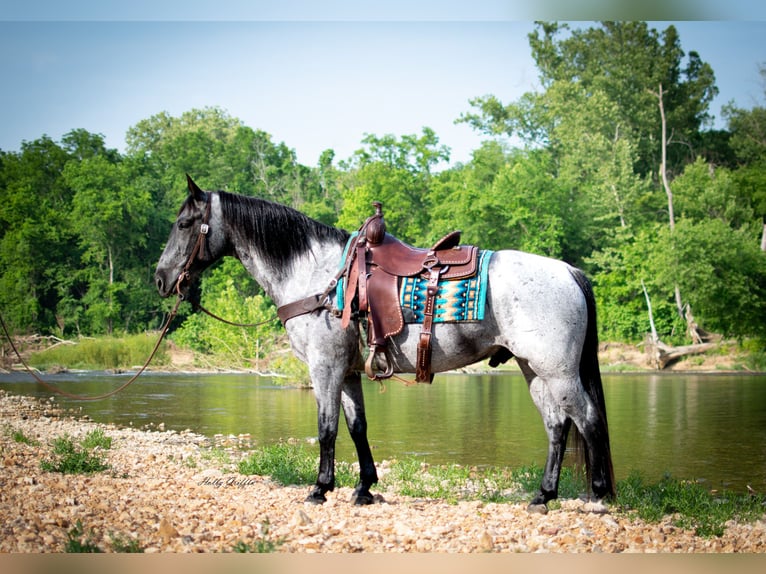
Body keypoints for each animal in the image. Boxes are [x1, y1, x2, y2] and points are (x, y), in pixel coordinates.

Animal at [156, 176, 616, 512]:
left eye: (183, 225)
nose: (161, 279)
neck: (320, 277)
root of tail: (569, 271)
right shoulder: (347, 371)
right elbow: (357, 427)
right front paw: (363, 488)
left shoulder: (324, 367)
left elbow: (326, 428)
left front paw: (320, 488)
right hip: (532, 369)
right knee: (557, 426)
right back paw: (543, 495)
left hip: (557, 371)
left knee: (588, 419)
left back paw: (598, 496)